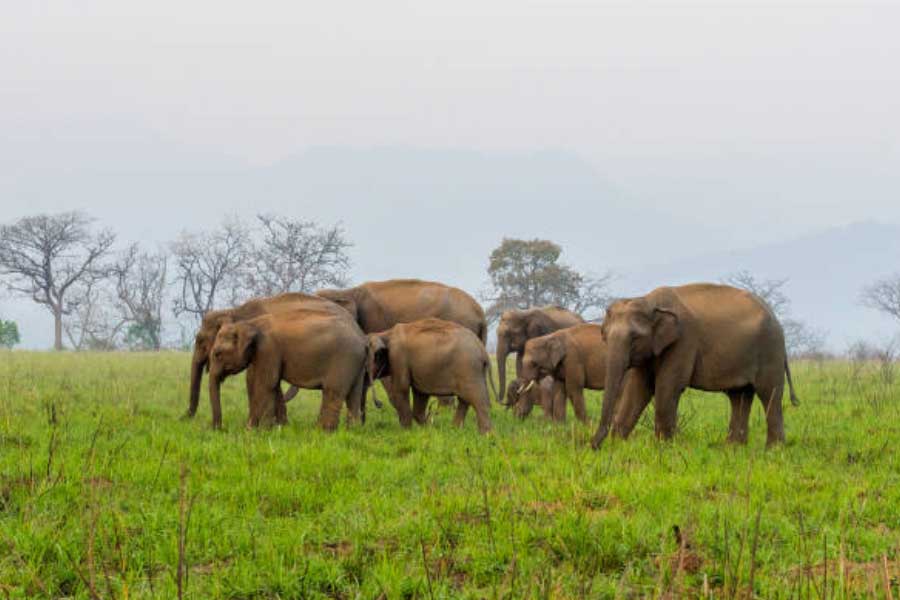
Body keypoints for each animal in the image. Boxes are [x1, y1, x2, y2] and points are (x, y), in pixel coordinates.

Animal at [207, 307, 367, 430]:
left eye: (217, 354)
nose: (220, 429)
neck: (250, 324)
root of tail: (362, 338)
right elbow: (274, 385)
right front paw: (279, 428)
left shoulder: (268, 349)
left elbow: (266, 384)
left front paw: (258, 431)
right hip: (356, 363)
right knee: (354, 394)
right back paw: (352, 431)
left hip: (344, 359)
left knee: (333, 391)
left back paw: (322, 432)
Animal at [366, 318, 494, 433]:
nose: (379, 403)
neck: (385, 333)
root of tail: (483, 350)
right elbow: (420, 394)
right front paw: (428, 431)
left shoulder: (397, 357)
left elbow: (401, 389)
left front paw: (406, 432)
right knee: (465, 400)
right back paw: (455, 430)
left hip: (468, 369)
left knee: (478, 400)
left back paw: (486, 436)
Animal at [518, 323, 653, 424]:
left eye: (534, 363)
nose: (519, 418)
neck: (550, 337)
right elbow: (559, 390)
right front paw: (559, 426)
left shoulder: (573, 359)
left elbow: (573, 389)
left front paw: (586, 425)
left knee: (620, 392)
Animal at [591, 283, 799, 449]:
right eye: (604, 335)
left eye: (634, 338)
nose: (594, 446)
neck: (649, 301)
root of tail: (776, 319)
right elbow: (638, 389)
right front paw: (617, 447)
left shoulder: (684, 341)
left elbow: (668, 386)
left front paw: (664, 448)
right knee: (739, 396)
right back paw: (733, 448)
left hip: (770, 350)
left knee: (769, 394)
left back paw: (773, 450)